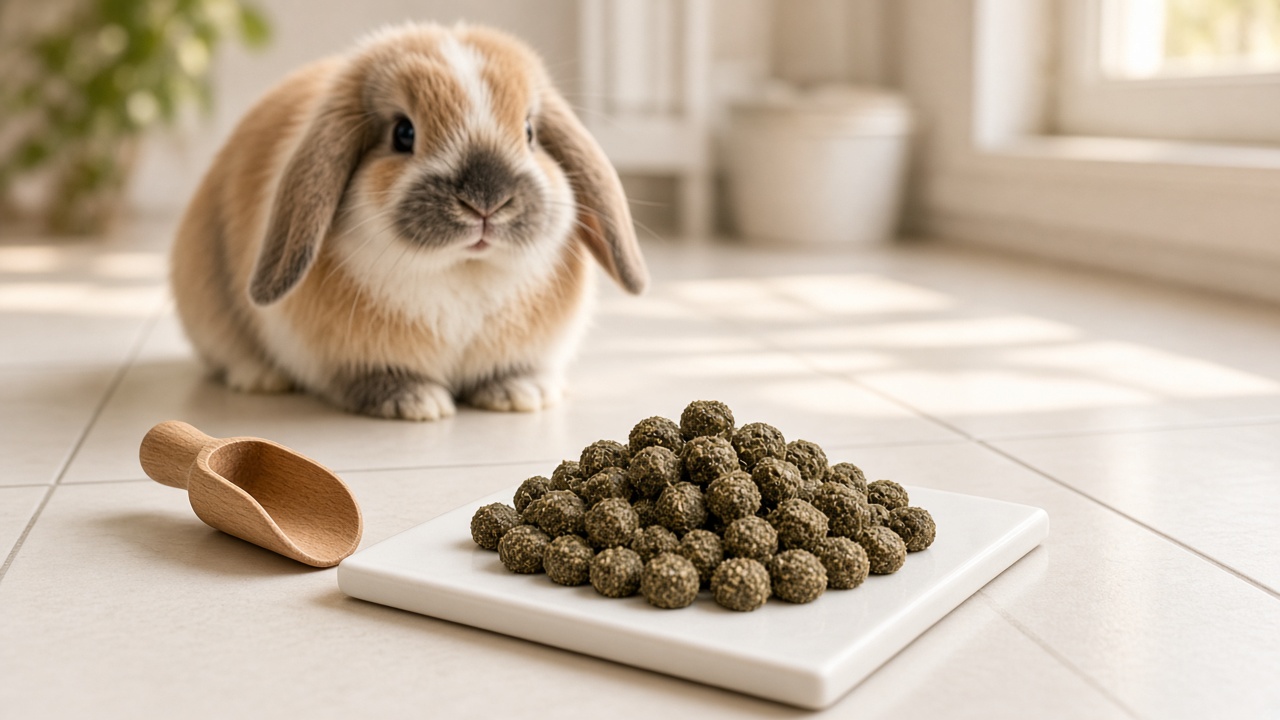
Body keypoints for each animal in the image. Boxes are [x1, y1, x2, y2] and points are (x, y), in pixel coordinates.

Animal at [171, 22, 647, 420]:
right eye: (403, 133)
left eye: (530, 133)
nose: (486, 202)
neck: (462, 271)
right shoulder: (354, 357)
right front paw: (414, 402)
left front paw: (521, 394)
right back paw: (260, 377)